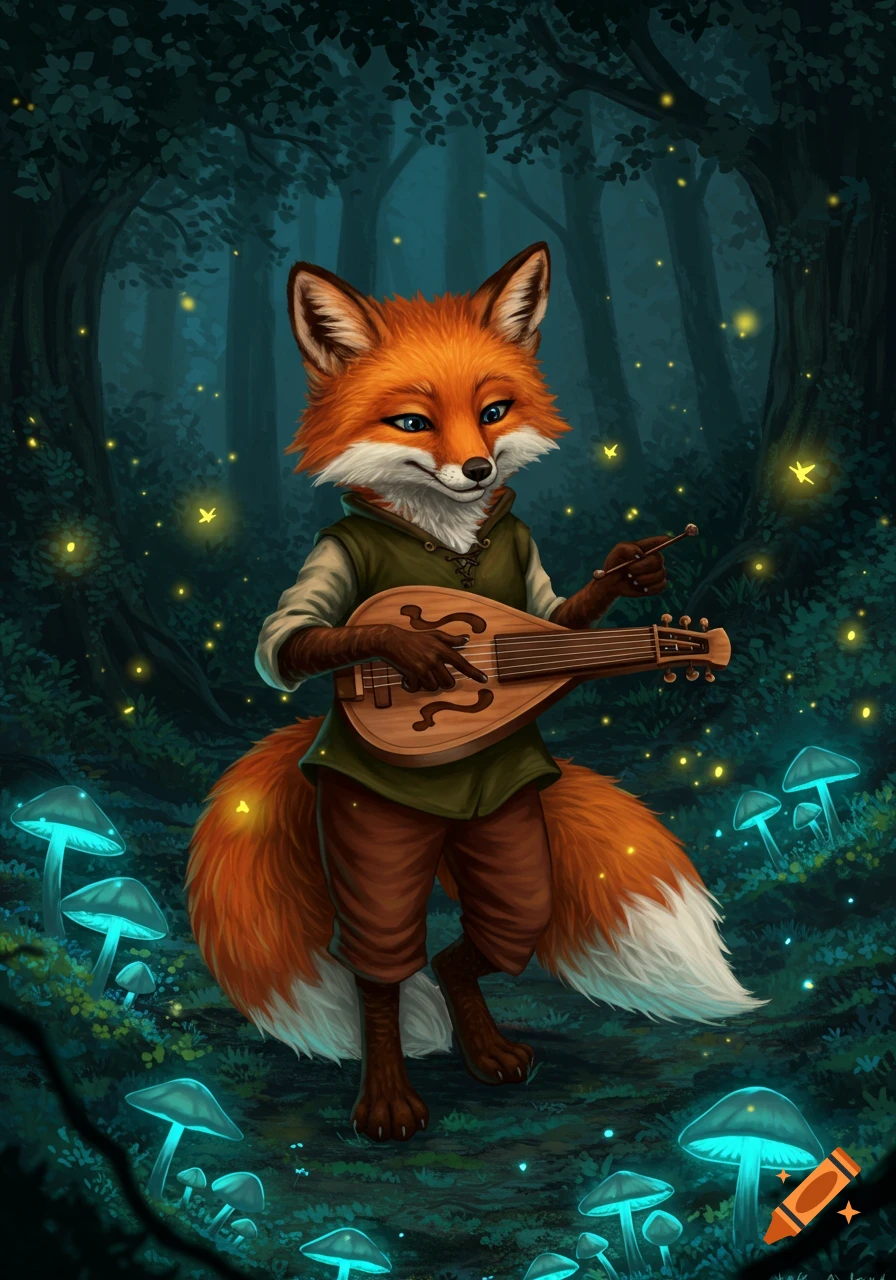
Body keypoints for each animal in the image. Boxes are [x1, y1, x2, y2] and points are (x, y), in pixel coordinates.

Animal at [186, 242, 762, 1143]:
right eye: (410, 424)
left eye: (494, 411)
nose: (480, 469)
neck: (445, 529)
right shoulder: (328, 569)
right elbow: (284, 637)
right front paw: (413, 649)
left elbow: (557, 611)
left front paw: (632, 575)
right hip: (371, 828)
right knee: (382, 956)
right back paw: (388, 1095)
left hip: (507, 844)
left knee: (486, 938)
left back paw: (484, 1044)